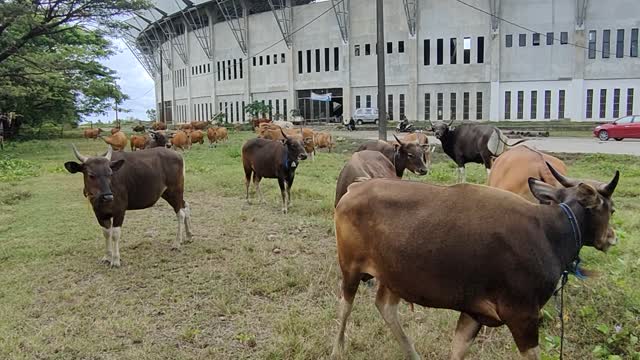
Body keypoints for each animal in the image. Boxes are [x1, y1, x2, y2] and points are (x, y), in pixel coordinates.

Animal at [63, 144, 192, 268]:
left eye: (110, 173)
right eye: (91, 175)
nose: (108, 197)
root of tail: (178, 155)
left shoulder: (120, 211)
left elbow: (115, 234)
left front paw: (115, 260)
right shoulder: (99, 213)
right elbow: (106, 233)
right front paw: (107, 257)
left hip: (175, 191)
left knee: (180, 213)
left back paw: (177, 243)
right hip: (167, 193)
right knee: (185, 205)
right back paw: (189, 236)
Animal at [332, 164, 616, 360]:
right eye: (611, 209)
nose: (611, 237)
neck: (550, 232)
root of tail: (355, 187)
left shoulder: (474, 312)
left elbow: (457, 350)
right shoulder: (523, 315)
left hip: (394, 276)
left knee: (385, 307)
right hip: (351, 267)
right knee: (345, 305)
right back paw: (338, 348)